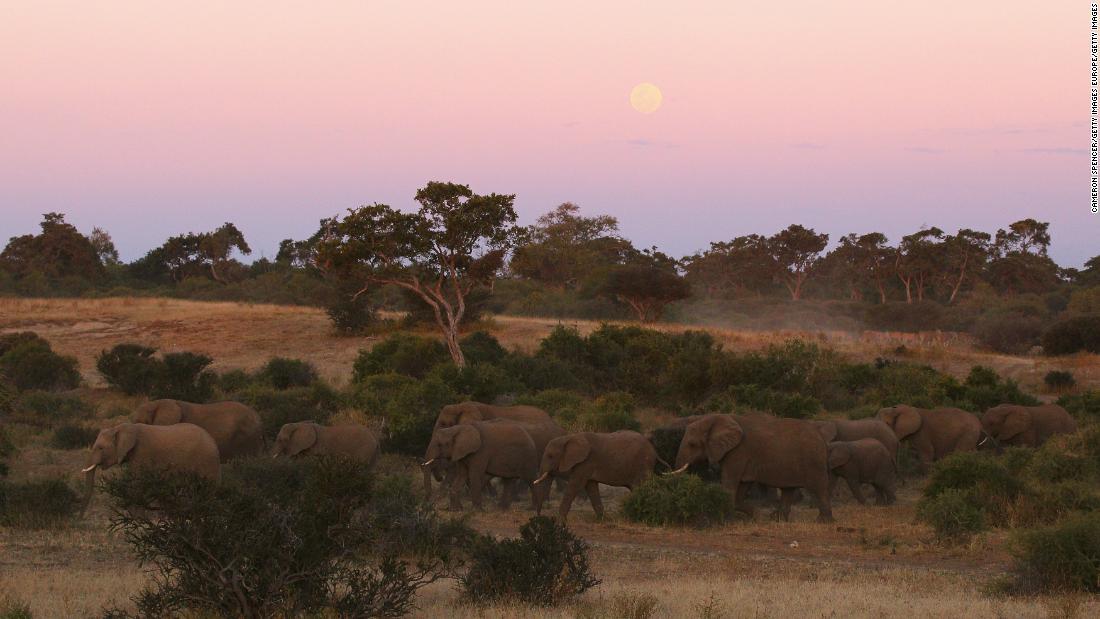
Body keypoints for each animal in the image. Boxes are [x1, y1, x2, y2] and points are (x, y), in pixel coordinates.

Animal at [668, 413, 831, 525]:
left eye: (692, 444)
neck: (718, 417)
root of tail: (822, 438)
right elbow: (741, 487)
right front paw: (755, 516)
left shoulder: (738, 452)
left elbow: (729, 484)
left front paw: (727, 521)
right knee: (788, 490)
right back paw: (776, 519)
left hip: (813, 461)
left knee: (820, 488)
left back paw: (823, 521)